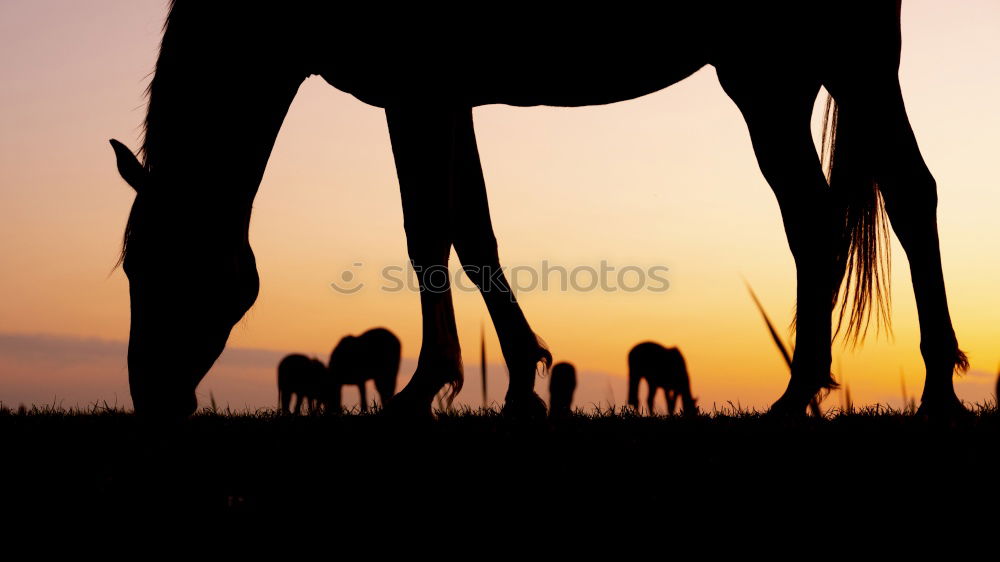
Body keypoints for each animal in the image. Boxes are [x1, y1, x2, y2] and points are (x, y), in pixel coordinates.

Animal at [113, 0, 964, 418]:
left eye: (170, 268)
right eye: (130, 270)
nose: (150, 396)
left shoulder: (415, 91)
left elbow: (427, 229)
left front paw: (427, 386)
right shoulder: (442, 96)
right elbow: (473, 228)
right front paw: (521, 375)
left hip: (835, 62)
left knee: (897, 198)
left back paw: (925, 390)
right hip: (776, 79)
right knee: (830, 216)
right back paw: (817, 390)